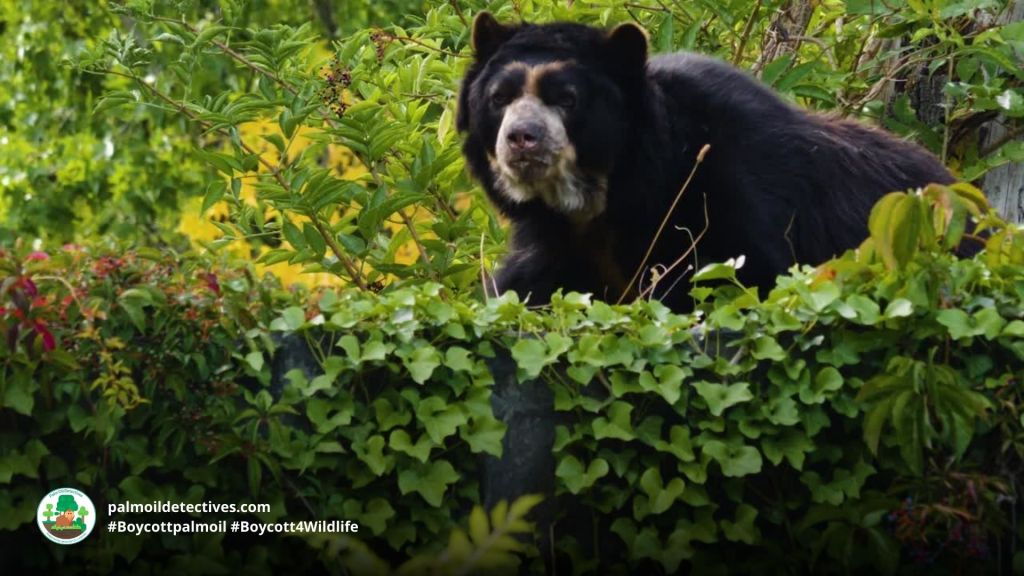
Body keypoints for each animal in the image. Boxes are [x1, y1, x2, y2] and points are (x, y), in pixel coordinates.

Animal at [457, 12, 963, 311]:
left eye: (567, 99)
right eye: (500, 98)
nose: (521, 139)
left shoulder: (725, 192)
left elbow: (746, 275)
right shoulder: (555, 243)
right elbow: (519, 291)